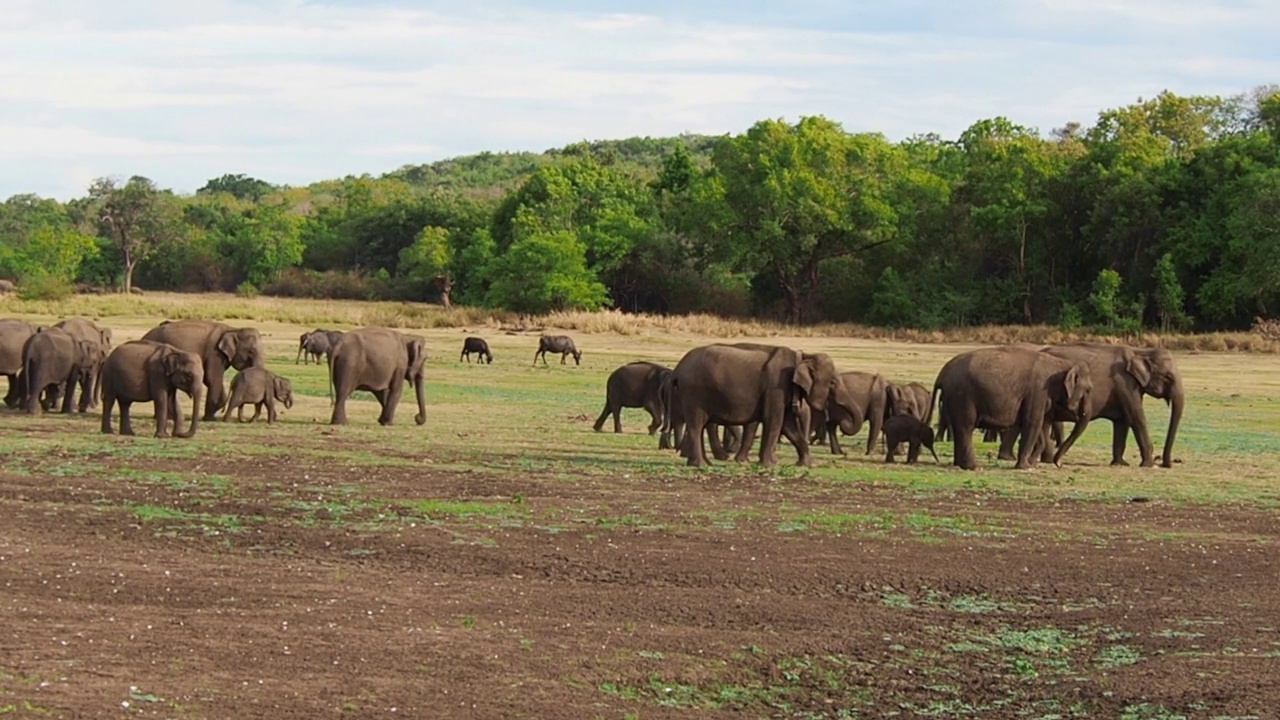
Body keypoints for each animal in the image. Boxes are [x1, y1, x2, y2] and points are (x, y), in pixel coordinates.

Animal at [670, 340, 860, 466]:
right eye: (833, 383)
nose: (844, 423)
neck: (803, 356)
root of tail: (679, 368)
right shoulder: (776, 386)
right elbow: (774, 420)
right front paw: (769, 465)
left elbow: (788, 425)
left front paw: (806, 464)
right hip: (694, 393)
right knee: (697, 424)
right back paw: (701, 465)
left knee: (700, 424)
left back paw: (704, 463)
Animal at [931, 343, 1090, 471]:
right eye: (1088, 390)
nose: (1060, 464)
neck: (1061, 363)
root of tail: (942, 374)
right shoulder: (1038, 390)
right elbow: (1033, 422)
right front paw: (1026, 467)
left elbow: (1036, 423)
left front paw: (1031, 464)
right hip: (963, 396)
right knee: (966, 427)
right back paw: (974, 467)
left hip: (954, 397)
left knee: (959, 428)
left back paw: (959, 465)